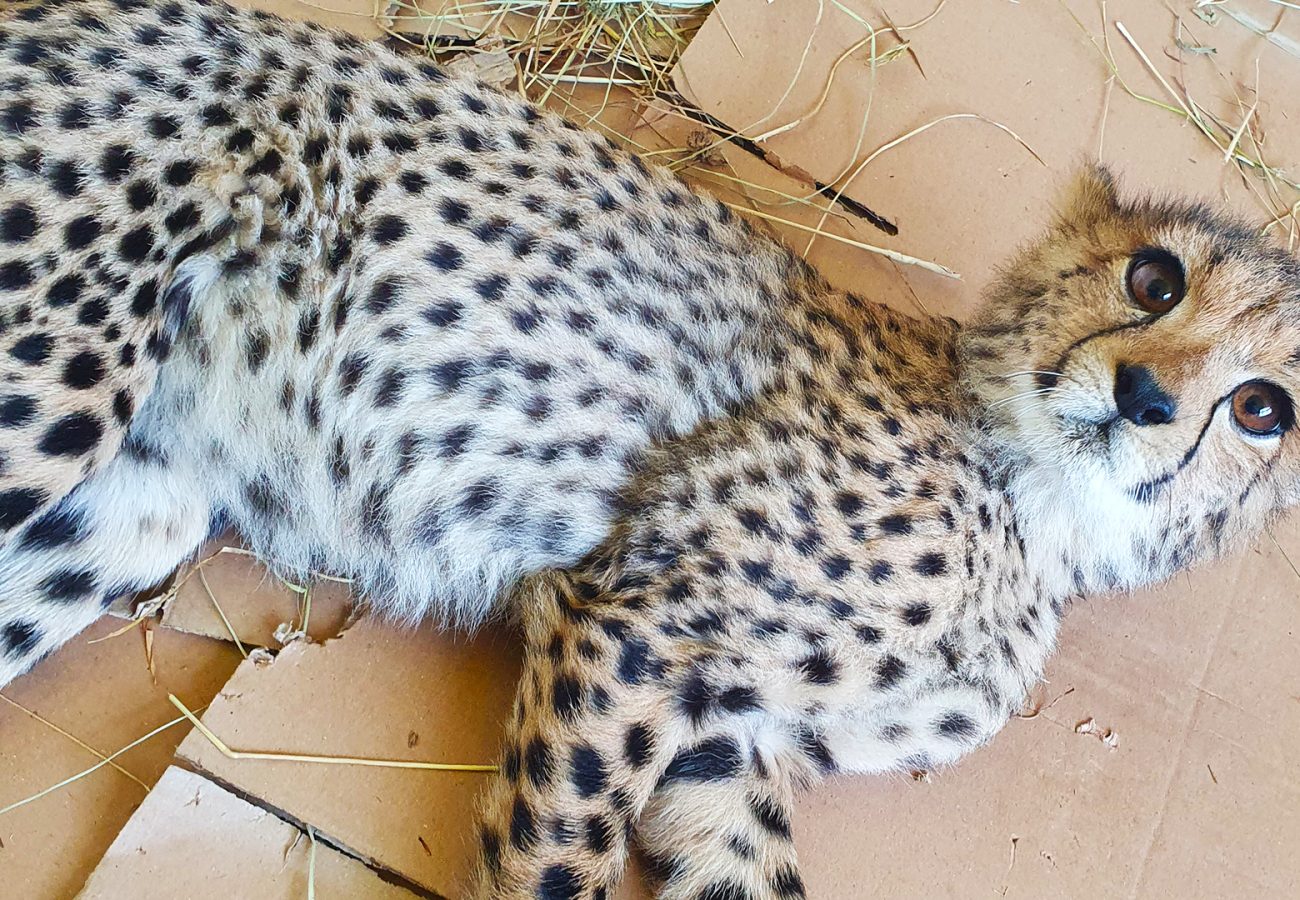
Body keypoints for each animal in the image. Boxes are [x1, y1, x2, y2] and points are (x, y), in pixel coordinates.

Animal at [2, 1, 1300, 900]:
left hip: (135, 508)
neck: (1043, 518)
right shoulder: (632, 625)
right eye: (1152, 280)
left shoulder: (723, 737)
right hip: (56, 388)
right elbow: (557, 862)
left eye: (1261, 410)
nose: (1141, 395)